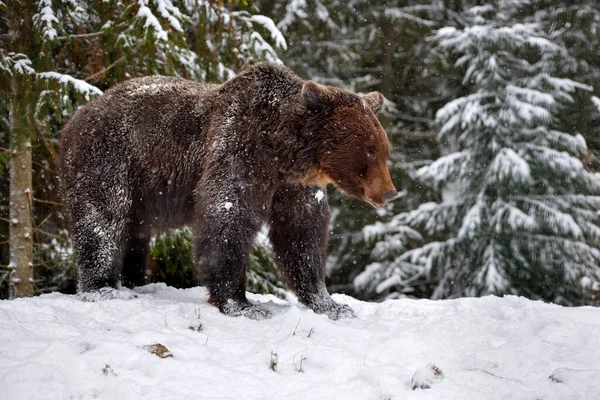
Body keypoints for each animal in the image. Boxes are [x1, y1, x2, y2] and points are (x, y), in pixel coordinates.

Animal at [59, 63, 398, 318]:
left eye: (384, 150)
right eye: (368, 150)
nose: (390, 192)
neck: (284, 153)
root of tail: (76, 116)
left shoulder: (293, 187)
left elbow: (301, 234)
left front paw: (329, 303)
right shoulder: (239, 151)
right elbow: (228, 218)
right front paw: (242, 303)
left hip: (140, 189)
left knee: (134, 234)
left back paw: (132, 282)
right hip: (111, 158)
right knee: (103, 219)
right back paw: (103, 288)